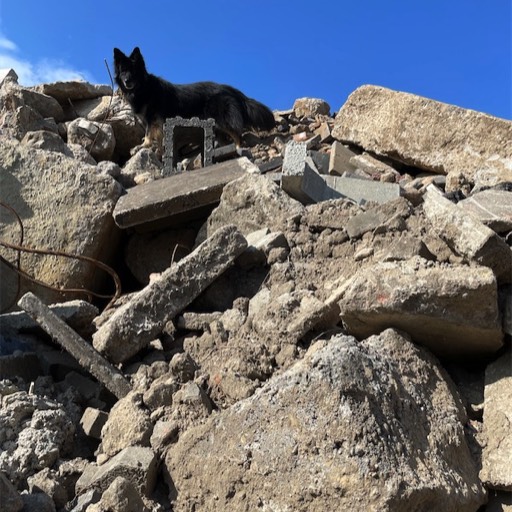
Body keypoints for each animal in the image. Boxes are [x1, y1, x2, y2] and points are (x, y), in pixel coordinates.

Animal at [113, 49, 276, 155]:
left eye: (133, 71)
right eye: (123, 71)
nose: (127, 81)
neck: (143, 87)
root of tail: (228, 88)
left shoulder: (153, 118)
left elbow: (148, 134)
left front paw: (143, 146)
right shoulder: (157, 122)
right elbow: (158, 139)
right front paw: (159, 153)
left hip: (222, 119)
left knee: (237, 135)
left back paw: (238, 149)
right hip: (217, 126)